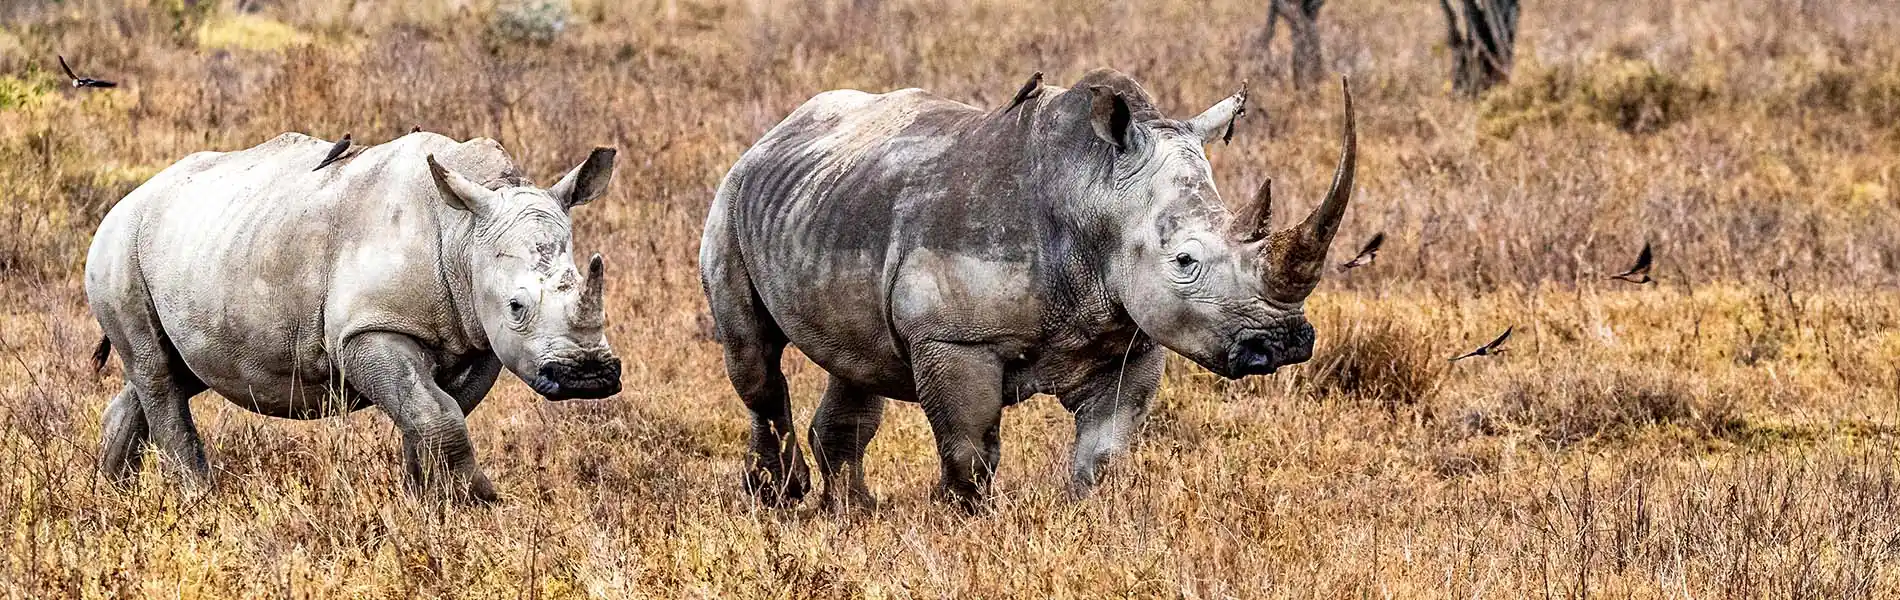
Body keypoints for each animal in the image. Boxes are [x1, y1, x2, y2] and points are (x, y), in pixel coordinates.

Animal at [85, 131, 619, 501]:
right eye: (516, 306)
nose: (589, 375)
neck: (463, 233)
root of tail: (127, 199)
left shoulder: (480, 334)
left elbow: (434, 411)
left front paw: (427, 502)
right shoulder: (366, 331)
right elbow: (435, 410)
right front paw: (479, 501)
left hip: (200, 246)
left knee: (180, 370)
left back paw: (111, 493)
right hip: (118, 244)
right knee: (157, 370)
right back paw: (199, 500)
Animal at [706, 70, 1360, 512]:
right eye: (1184, 260)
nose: (1285, 343)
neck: (1095, 191)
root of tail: (774, 134)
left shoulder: (1133, 336)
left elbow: (1104, 452)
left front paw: (1083, 517)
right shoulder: (955, 338)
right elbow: (970, 447)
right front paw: (965, 523)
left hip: (828, 199)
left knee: (858, 361)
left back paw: (854, 513)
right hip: (731, 200)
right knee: (755, 361)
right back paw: (779, 498)